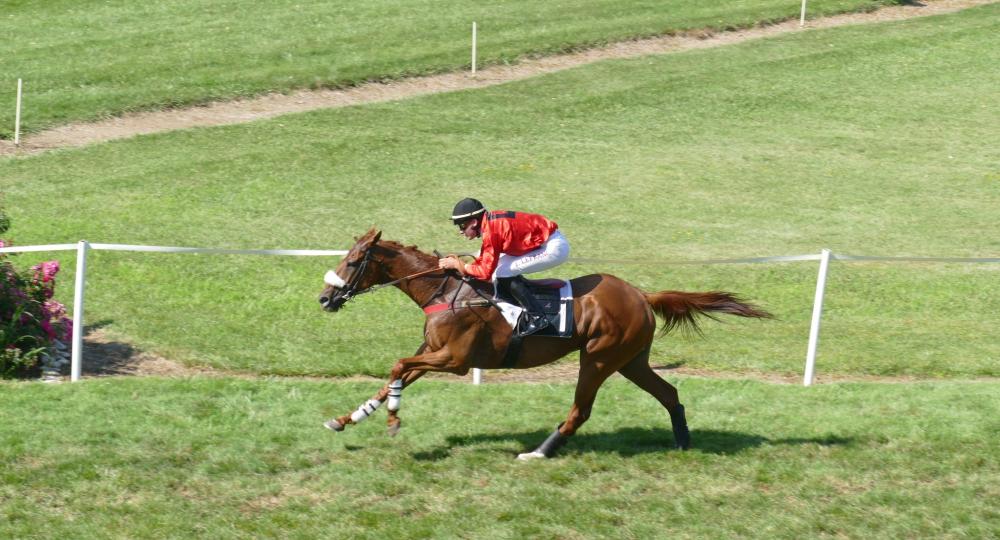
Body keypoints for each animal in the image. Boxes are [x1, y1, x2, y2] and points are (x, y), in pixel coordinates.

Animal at [316, 228, 768, 460]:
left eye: (353, 262)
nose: (324, 298)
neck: (444, 290)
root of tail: (642, 294)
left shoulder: (454, 359)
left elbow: (397, 366)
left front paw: (393, 421)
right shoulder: (432, 353)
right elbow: (395, 376)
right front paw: (347, 418)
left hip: (599, 358)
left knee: (581, 410)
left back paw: (540, 452)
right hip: (631, 360)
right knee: (669, 393)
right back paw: (683, 441)